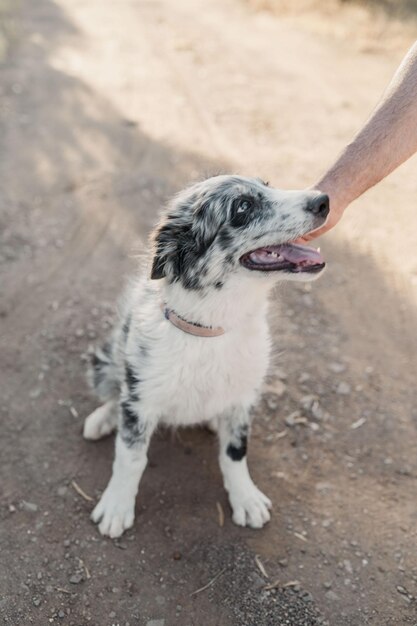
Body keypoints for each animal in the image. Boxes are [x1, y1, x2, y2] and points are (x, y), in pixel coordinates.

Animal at [83, 174, 328, 536]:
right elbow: (130, 456)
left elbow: (235, 451)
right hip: (108, 363)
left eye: (268, 184)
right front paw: (116, 506)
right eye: (242, 207)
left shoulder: (244, 396)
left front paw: (246, 498)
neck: (210, 331)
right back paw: (103, 418)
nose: (324, 200)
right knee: (116, 393)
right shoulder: (141, 400)